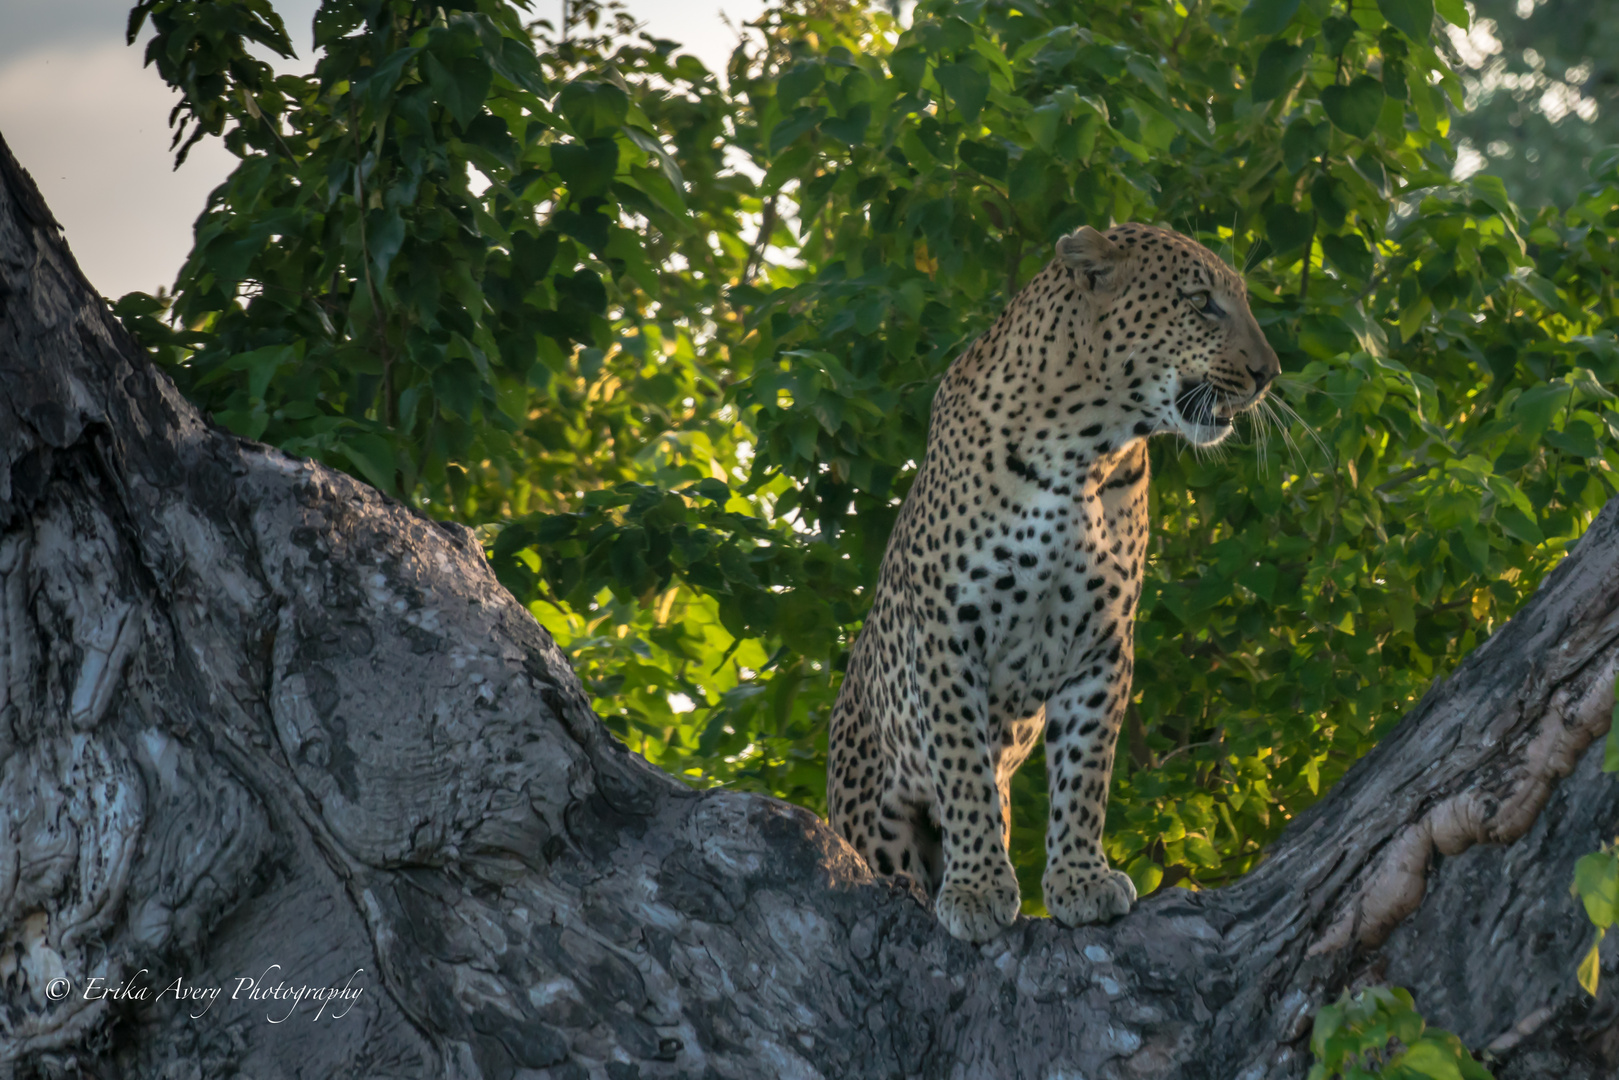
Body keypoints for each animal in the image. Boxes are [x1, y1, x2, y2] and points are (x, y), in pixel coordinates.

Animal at [828, 221, 1282, 945]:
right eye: (1202, 303)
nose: (1269, 374)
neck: (1086, 455)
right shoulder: (946, 635)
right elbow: (964, 771)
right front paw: (978, 889)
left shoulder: (1100, 646)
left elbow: (1084, 774)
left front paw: (1080, 880)